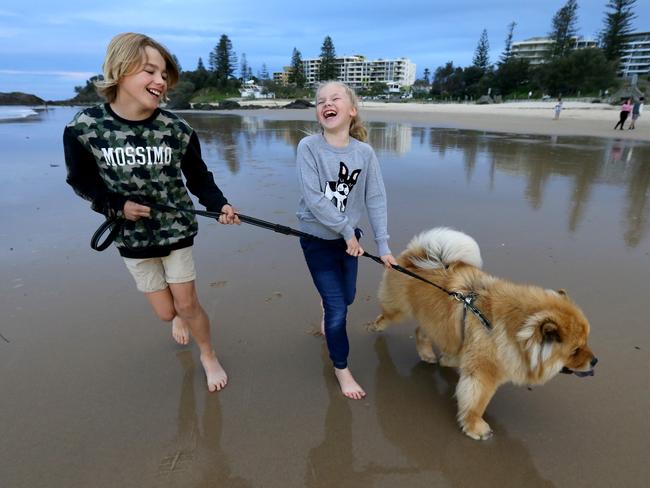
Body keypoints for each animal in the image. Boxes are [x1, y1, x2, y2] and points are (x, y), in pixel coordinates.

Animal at [368, 227, 596, 440]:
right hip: (398, 309)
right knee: (387, 316)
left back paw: (432, 355)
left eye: (586, 342)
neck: (513, 332)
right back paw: (375, 327)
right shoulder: (483, 374)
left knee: (421, 332)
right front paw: (476, 428)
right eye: (575, 350)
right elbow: (476, 402)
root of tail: (417, 254)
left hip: (434, 319)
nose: (595, 361)